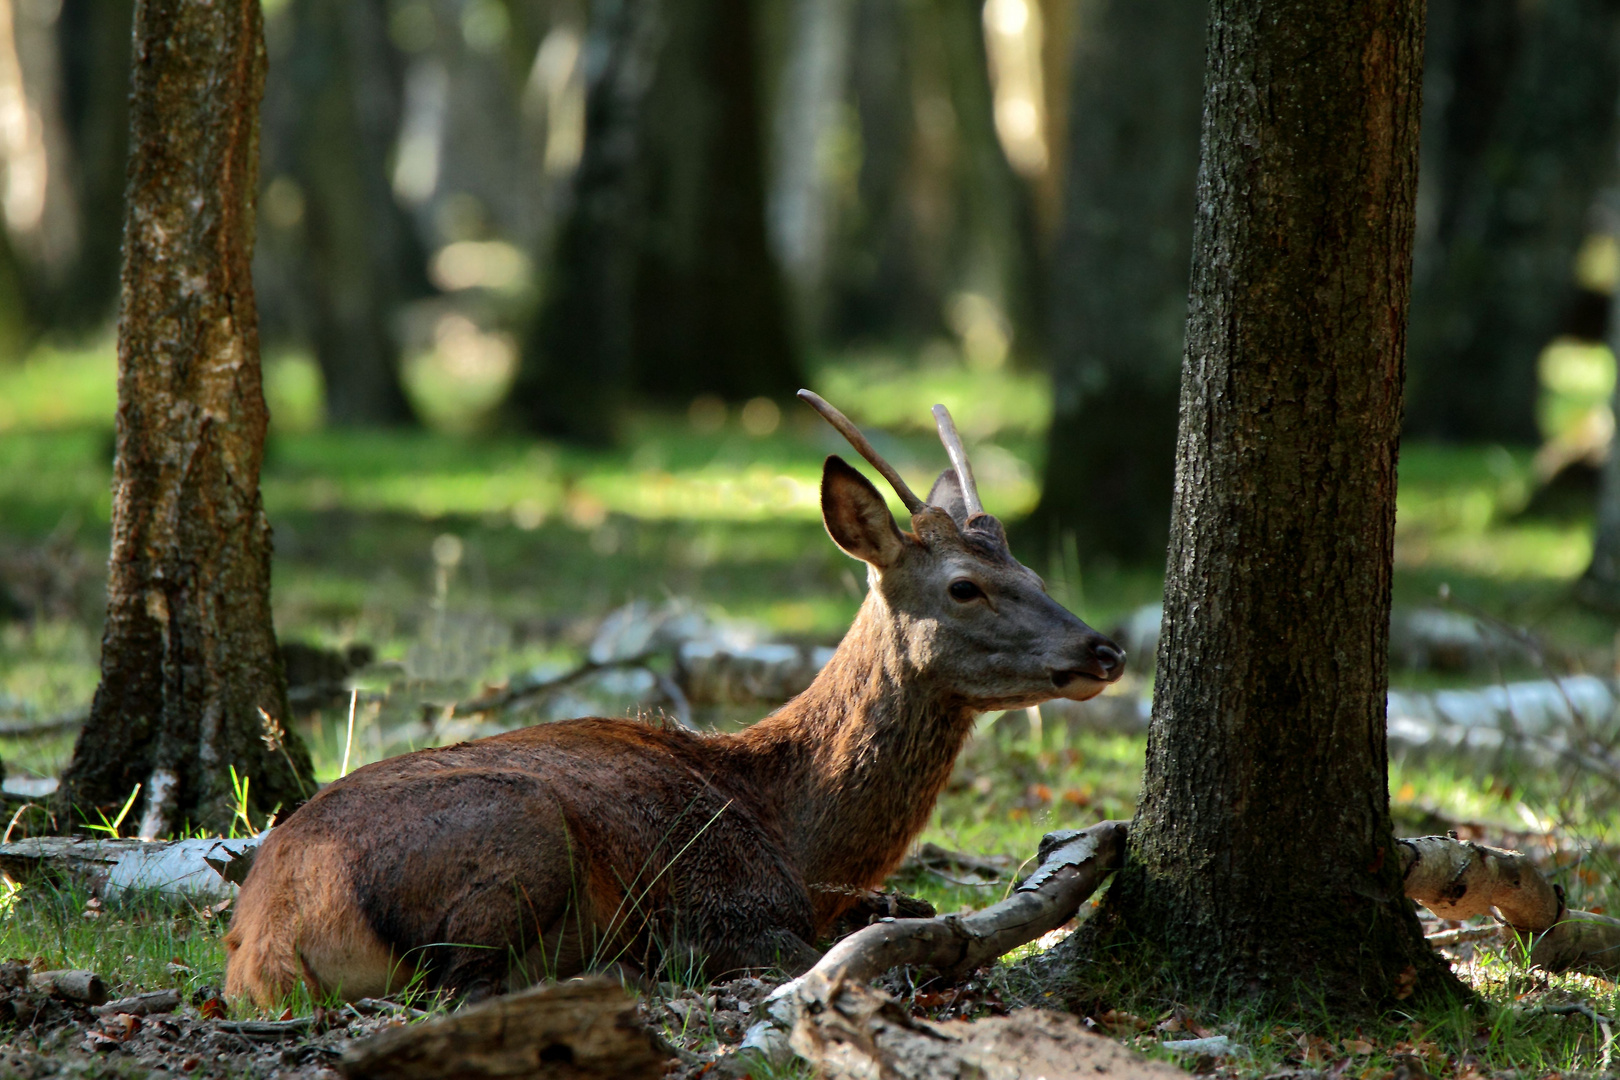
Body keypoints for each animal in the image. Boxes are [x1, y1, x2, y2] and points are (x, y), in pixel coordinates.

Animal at [221, 395, 1121, 1003]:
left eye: (1036, 573)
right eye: (964, 587)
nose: (1102, 648)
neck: (799, 838)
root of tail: (267, 938)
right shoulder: (729, 909)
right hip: (523, 837)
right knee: (465, 985)